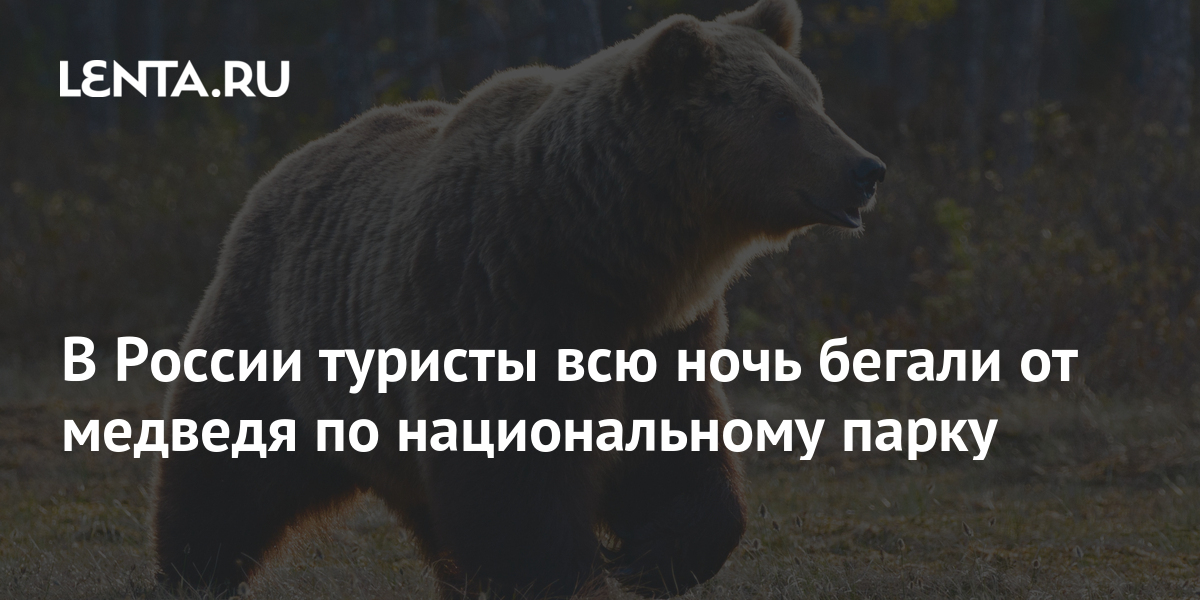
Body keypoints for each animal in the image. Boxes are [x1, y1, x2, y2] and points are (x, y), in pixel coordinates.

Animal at [151, 0, 885, 597]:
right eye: (783, 111)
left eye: (815, 99)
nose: (867, 169)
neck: (602, 246)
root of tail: (289, 163)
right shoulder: (494, 297)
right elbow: (515, 483)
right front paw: (570, 574)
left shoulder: (663, 333)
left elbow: (678, 448)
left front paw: (652, 556)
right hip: (281, 334)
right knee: (227, 469)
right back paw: (193, 571)